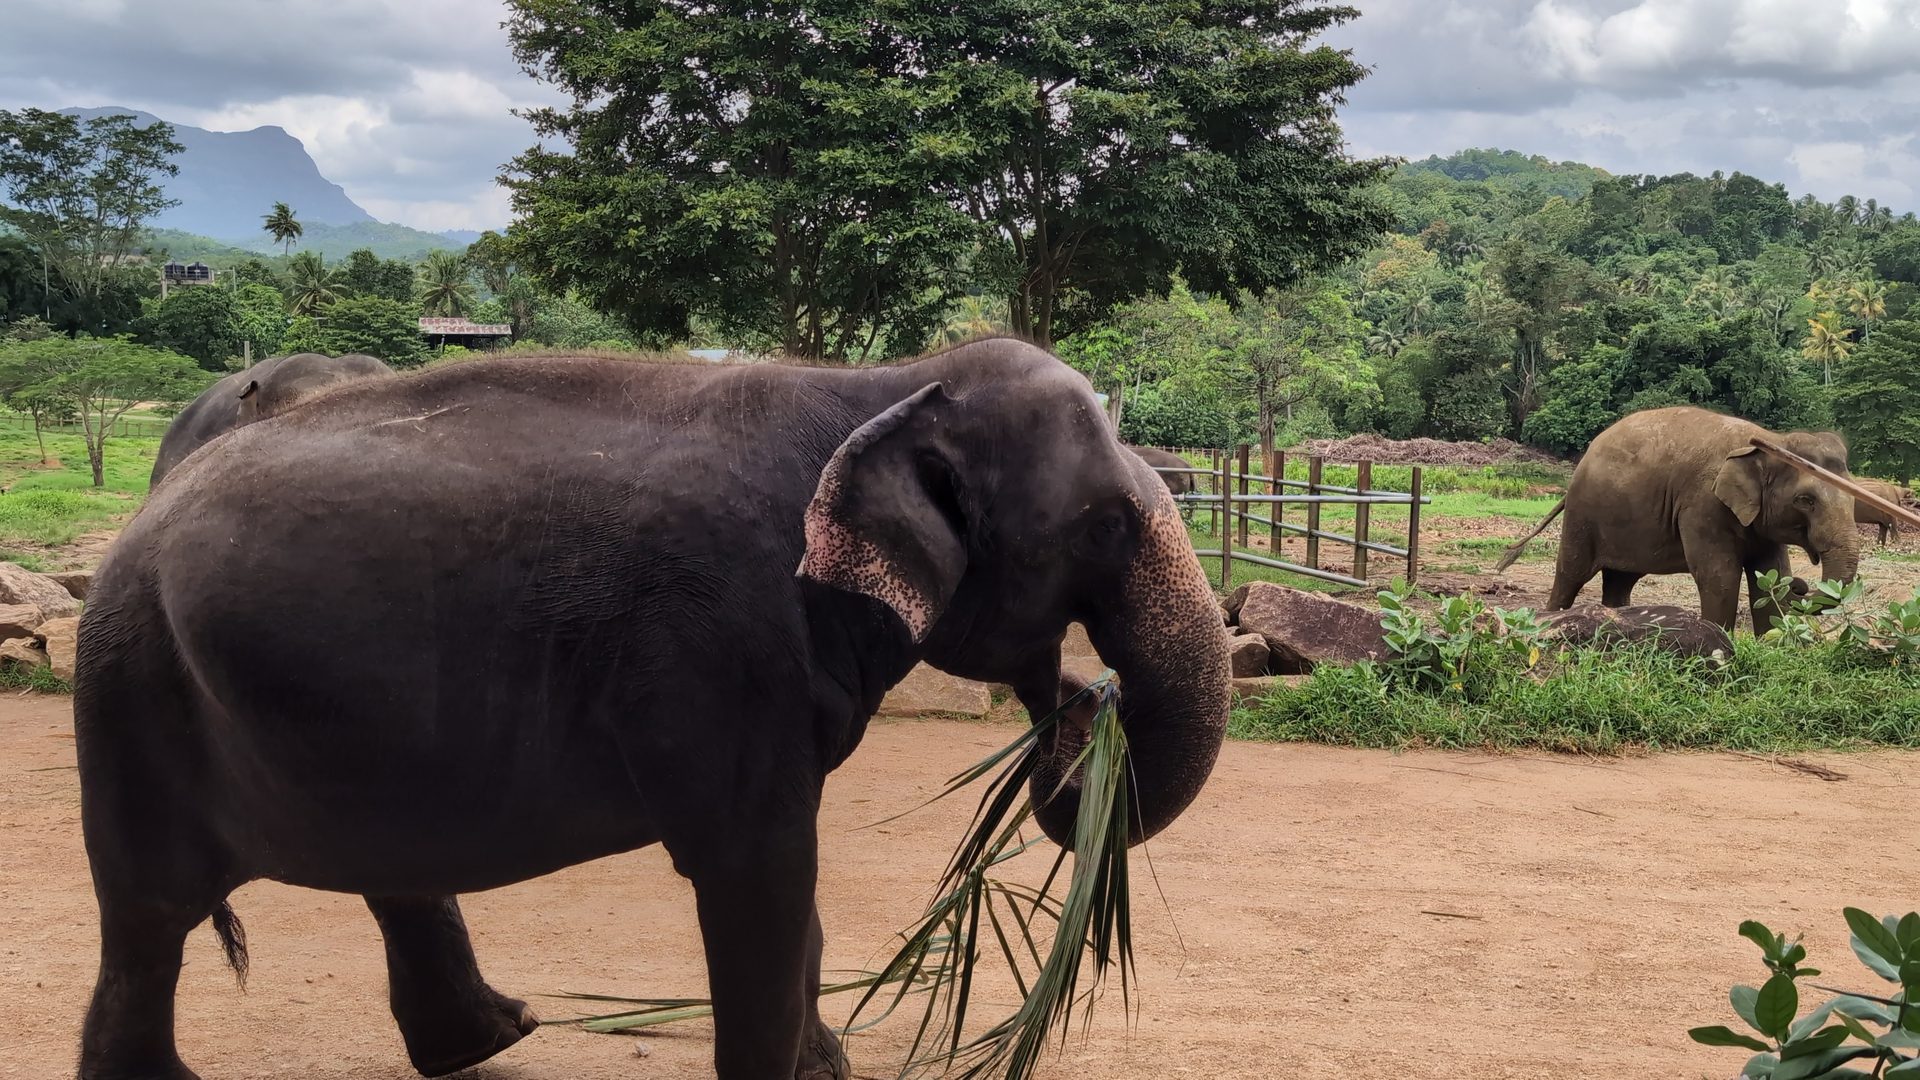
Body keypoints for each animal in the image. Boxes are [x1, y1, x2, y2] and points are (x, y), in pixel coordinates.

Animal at [1497, 406, 1859, 633]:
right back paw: (1549, 621)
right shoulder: (1702, 505)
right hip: (1583, 514)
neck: (1770, 441)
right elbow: (1719, 575)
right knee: (1571, 573)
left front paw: (1775, 644)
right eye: (1805, 501)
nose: (1803, 584)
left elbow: (1769, 574)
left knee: (1620, 579)